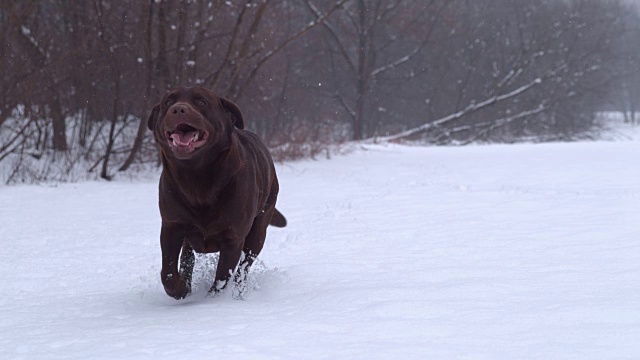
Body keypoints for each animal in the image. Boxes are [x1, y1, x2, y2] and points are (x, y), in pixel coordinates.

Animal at [146, 86, 286, 300]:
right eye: (168, 102)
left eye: (201, 102)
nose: (178, 109)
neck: (196, 179)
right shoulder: (171, 225)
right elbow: (168, 272)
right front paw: (181, 289)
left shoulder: (233, 238)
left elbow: (222, 278)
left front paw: (213, 301)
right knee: (187, 256)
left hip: (259, 228)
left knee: (244, 266)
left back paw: (239, 292)